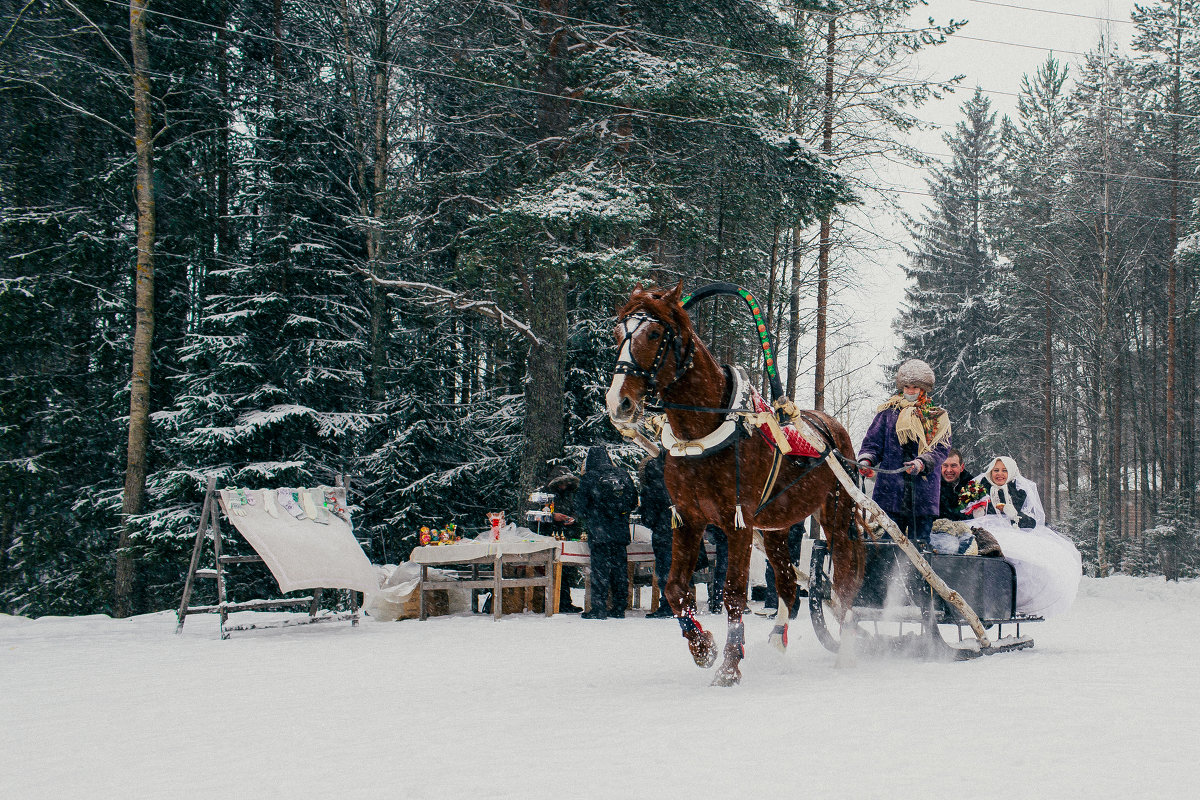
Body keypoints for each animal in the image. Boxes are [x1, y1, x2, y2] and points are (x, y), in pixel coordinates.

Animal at [604, 284, 868, 686]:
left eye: (653, 333)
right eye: (618, 333)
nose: (619, 402)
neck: (703, 434)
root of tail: (830, 427)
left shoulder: (738, 524)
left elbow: (732, 594)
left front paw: (729, 667)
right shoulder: (688, 519)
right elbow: (674, 587)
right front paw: (704, 648)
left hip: (837, 517)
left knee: (843, 583)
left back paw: (847, 652)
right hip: (775, 528)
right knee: (788, 587)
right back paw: (777, 645)